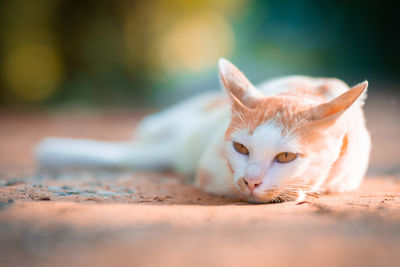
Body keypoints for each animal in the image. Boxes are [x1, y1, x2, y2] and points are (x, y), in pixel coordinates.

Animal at [36, 58, 370, 204]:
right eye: (240, 148)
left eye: (286, 156)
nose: (250, 181)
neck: (303, 89)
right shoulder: (210, 170)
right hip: (174, 119)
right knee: (148, 131)